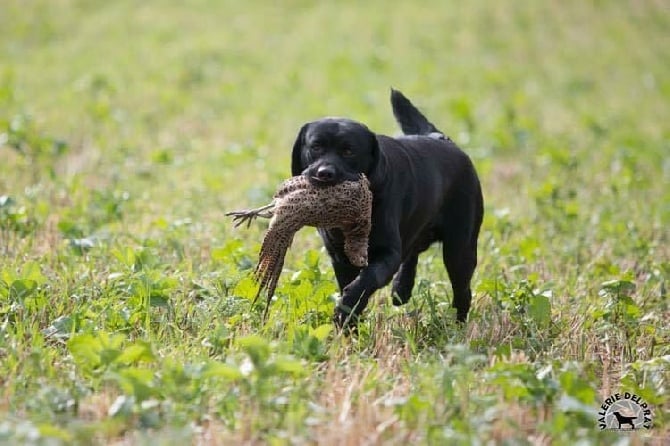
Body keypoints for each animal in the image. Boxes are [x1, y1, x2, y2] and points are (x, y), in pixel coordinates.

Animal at [292, 90, 486, 328]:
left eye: (349, 151)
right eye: (316, 146)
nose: (324, 173)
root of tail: (441, 137)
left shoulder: (387, 253)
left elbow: (366, 280)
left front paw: (346, 308)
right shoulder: (340, 258)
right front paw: (349, 324)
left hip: (459, 249)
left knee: (462, 291)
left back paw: (457, 327)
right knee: (413, 253)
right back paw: (401, 289)